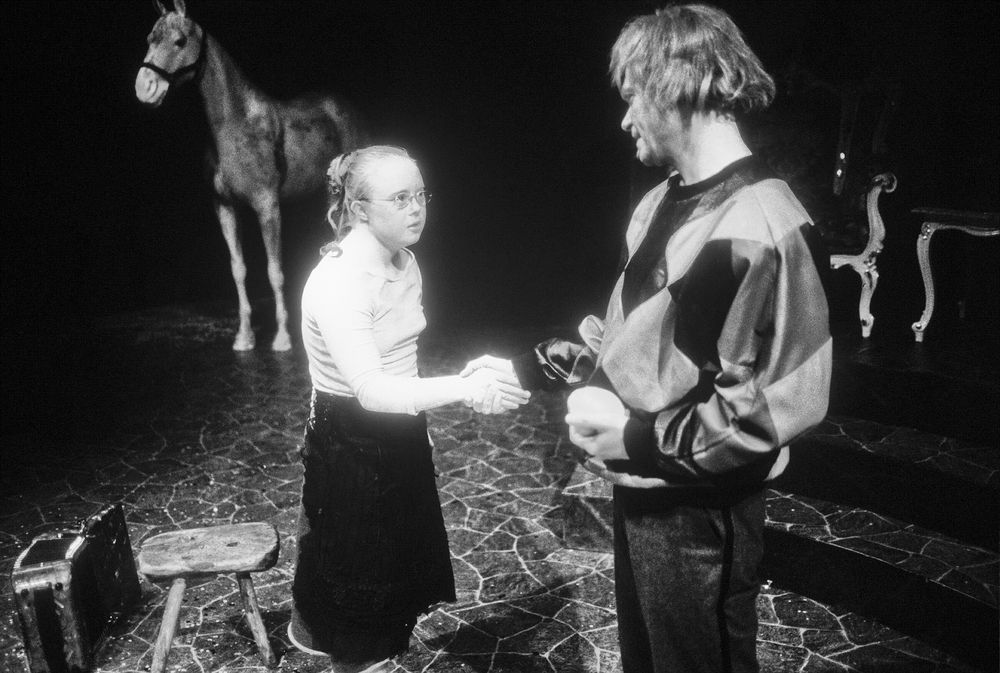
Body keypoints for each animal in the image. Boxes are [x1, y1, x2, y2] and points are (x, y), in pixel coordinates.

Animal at [134, 0, 367, 351]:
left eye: (179, 41)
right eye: (150, 38)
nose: (145, 88)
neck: (236, 124)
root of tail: (343, 107)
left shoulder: (267, 207)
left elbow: (274, 270)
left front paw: (282, 337)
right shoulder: (225, 208)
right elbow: (238, 270)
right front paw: (244, 337)